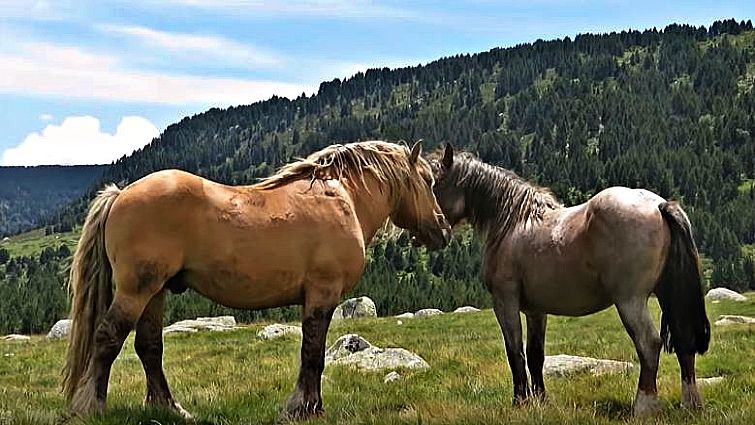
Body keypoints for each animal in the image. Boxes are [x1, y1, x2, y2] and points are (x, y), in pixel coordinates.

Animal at [62, 140, 451, 422]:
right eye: (428, 181)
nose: (443, 228)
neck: (344, 200)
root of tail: (120, 195)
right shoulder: (322, 294)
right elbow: (313, 353)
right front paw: (304, 408)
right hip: (136, 290)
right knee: (108, 338)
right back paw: (92, 407)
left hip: (154, 292)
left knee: (149, 347)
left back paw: (170, 408)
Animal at [429, 143, 710, 417]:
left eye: (432, 183)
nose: (436, 233)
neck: (513, 222)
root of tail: (659, 206)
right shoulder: (535, 310)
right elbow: (535, 354)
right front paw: (541, 400)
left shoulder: (505, 301)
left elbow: (515, 353)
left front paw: (520, 403)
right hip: (668, 294)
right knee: (683, 341)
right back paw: (690, 405)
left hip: (630, 300)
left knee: (649, 344)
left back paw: (643, 407)